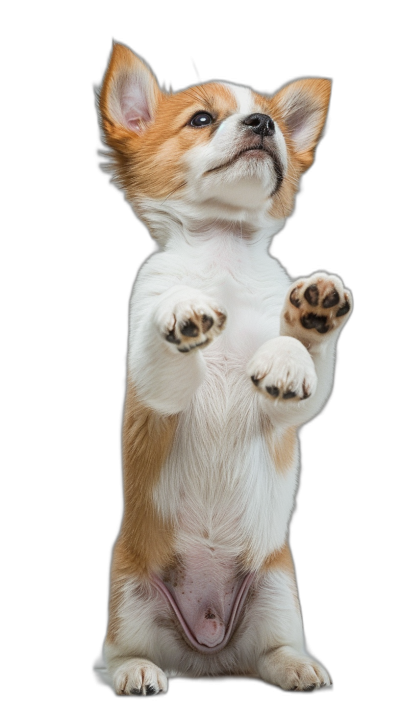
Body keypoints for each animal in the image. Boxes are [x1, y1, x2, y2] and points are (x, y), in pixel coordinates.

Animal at [95, 40, 352, 696]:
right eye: (202, 119)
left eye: (276, 121)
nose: (262, 124)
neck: (223, 249)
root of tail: (207, 653)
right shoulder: (155, 387)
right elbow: (164, 337)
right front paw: (184, 309)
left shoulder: (293, 407)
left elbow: (303, 362)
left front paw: (308, 321)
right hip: (128, 595)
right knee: (120, 654)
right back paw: (138, 671)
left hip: (278, 589)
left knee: (267, 653)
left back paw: (295, 666)